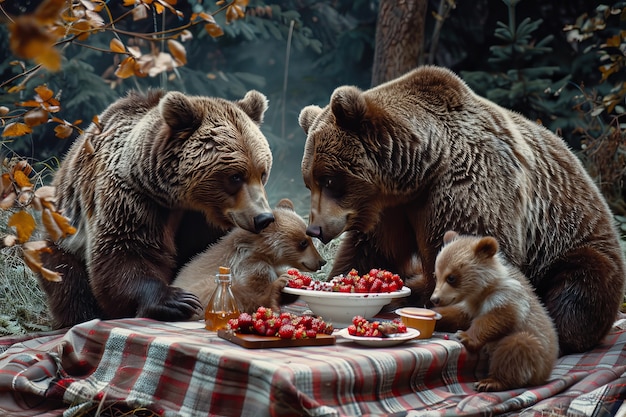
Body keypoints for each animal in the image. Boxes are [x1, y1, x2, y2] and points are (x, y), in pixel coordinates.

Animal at [39, 88, 272, 328]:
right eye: (235, 177)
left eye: (262, 173)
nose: (263, 218)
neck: (184, 199)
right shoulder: (134, 198)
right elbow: (126, 249)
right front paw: (179, 300)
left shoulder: (204, 220)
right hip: (64, 238)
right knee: (70, 285)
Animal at [298, 65, 624, 354]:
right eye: (309, 182)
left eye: (328, 179)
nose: (315, 228)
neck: (421, 170)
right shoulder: (390, 209)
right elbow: (371, 251)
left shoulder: (466, 187)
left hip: (568, 238)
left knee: (581, 286)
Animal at [428, 231, 556, 390]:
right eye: (436, 275)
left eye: (451, 277)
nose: (435, 299)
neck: (481, 291)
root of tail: (546, 372)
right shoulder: (470, 306)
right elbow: (457, 315)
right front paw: (434, 315)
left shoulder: (507, 296)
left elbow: (495, 318)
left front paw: (465, 336)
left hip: (536, 351)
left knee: (515, 349)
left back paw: (491, 381)